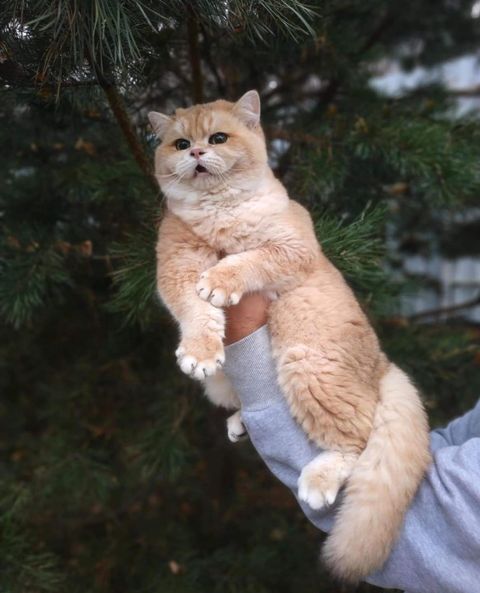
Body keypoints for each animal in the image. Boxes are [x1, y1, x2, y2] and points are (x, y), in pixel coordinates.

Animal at [148, 90, 430, 580]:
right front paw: (200, 349)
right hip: (225, 384)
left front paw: (221, 280)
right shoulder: (176, 269)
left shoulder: (289, 249)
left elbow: (247, 260)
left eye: (217, 138)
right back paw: (241, 423)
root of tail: (383, 367)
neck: (217, 211)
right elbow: (198, 314)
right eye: (180, 144)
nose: (197, 153)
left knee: (358, 441)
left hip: (307, 362)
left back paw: (317, 480)